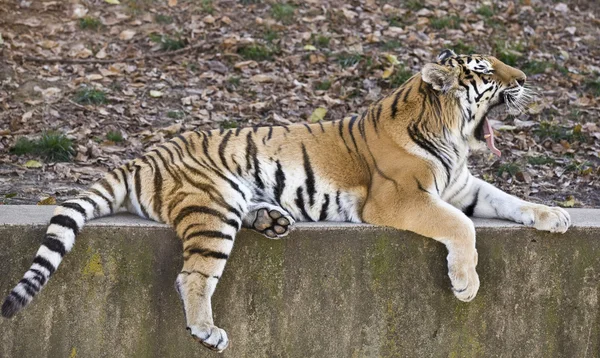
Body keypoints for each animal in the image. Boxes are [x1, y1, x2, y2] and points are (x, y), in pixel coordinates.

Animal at [1, 49, 572, 352]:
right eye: (486, 71)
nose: (525, 79)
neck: (452, 136)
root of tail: (146, 155)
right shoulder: (401, 199)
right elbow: (461, 227)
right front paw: (465, 284)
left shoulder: (462, 187)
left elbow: (511, 200)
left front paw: (556, 216)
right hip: (214, 206)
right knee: (192, 275)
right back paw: (207, 331)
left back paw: (274, 220)